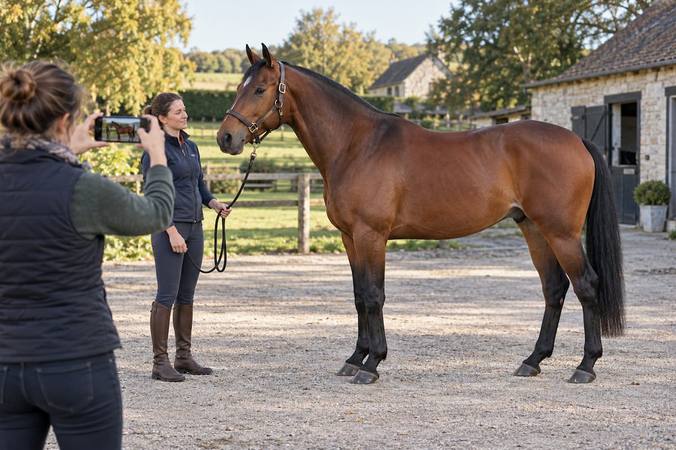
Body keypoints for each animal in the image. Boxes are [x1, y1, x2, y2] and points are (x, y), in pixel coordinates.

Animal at [216, 44, 625, 385]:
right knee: (554, 288)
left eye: (259, 89)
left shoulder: (371, 235)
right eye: (238, 86)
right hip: (534, 229)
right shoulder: (349, 237)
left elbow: (374, 295)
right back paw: (533, 360)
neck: (357, 144)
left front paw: (372, 364)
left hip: (561, 233)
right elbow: (358, 295)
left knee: (586, 285)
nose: (226, 138)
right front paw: (355, 358)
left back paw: (585, 366)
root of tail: (576, 140)